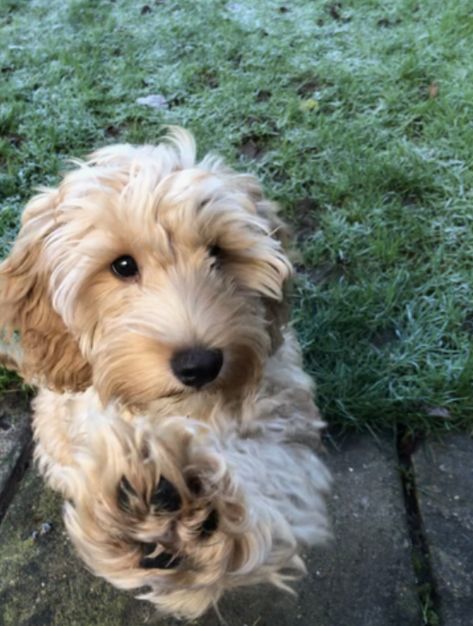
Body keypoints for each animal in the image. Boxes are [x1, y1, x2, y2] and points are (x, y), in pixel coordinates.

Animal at [0, 128, 330, 620]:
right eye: (122, 265)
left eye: (218, 254)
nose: (199, 364)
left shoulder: (283, 413)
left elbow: (277, 481)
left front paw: (189, 523)